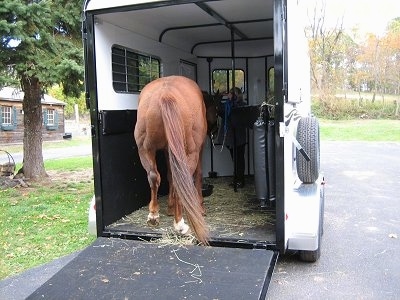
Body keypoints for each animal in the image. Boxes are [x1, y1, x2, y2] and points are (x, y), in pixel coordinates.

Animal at [134, 75, 209, 244]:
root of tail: (165, 94)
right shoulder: (199, 149)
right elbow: (198, 174)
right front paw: (200, 206)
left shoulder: (168, 151)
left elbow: (169, 176)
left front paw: (169, 207)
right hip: (190, 153)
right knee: (183, 179)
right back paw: (180, 224)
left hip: (145, 149)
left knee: (154, 176)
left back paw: (154, 215)